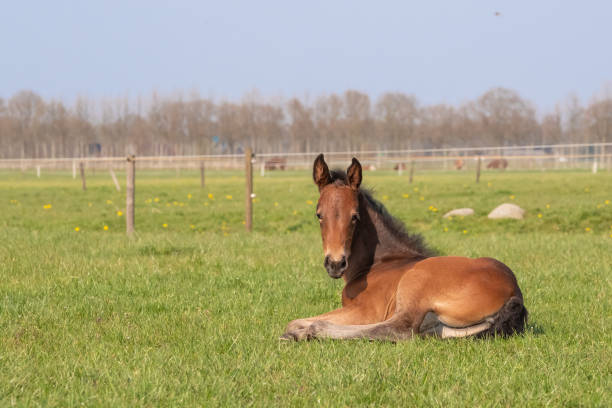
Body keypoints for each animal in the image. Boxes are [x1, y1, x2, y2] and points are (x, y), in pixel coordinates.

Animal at [282, 154, 524, 342]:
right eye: (319, 215)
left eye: (355, 216)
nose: (335, 264)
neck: (379, 262)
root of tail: (515, 292)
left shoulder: (364, 310)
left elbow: (293, 321)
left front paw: (300, 331)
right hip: (444, 327)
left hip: (415, 282)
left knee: (399, 329)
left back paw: (311, 331)